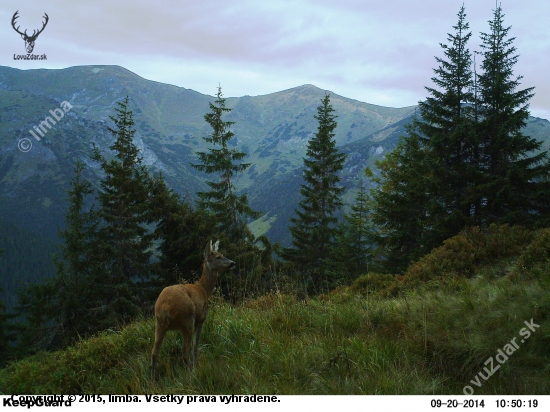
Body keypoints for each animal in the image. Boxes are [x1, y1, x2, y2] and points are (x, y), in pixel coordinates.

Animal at [151, 238, 235, 376]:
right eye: (218, 257)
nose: (232, 263)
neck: (203, 289)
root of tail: (164, 307)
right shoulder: (201, 319)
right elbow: (196, 346)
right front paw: (197, 366)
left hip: (159, 323)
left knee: (154, 352)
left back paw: (152, 377)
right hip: (187, 319)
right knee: (184, 353)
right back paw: (191, 373)